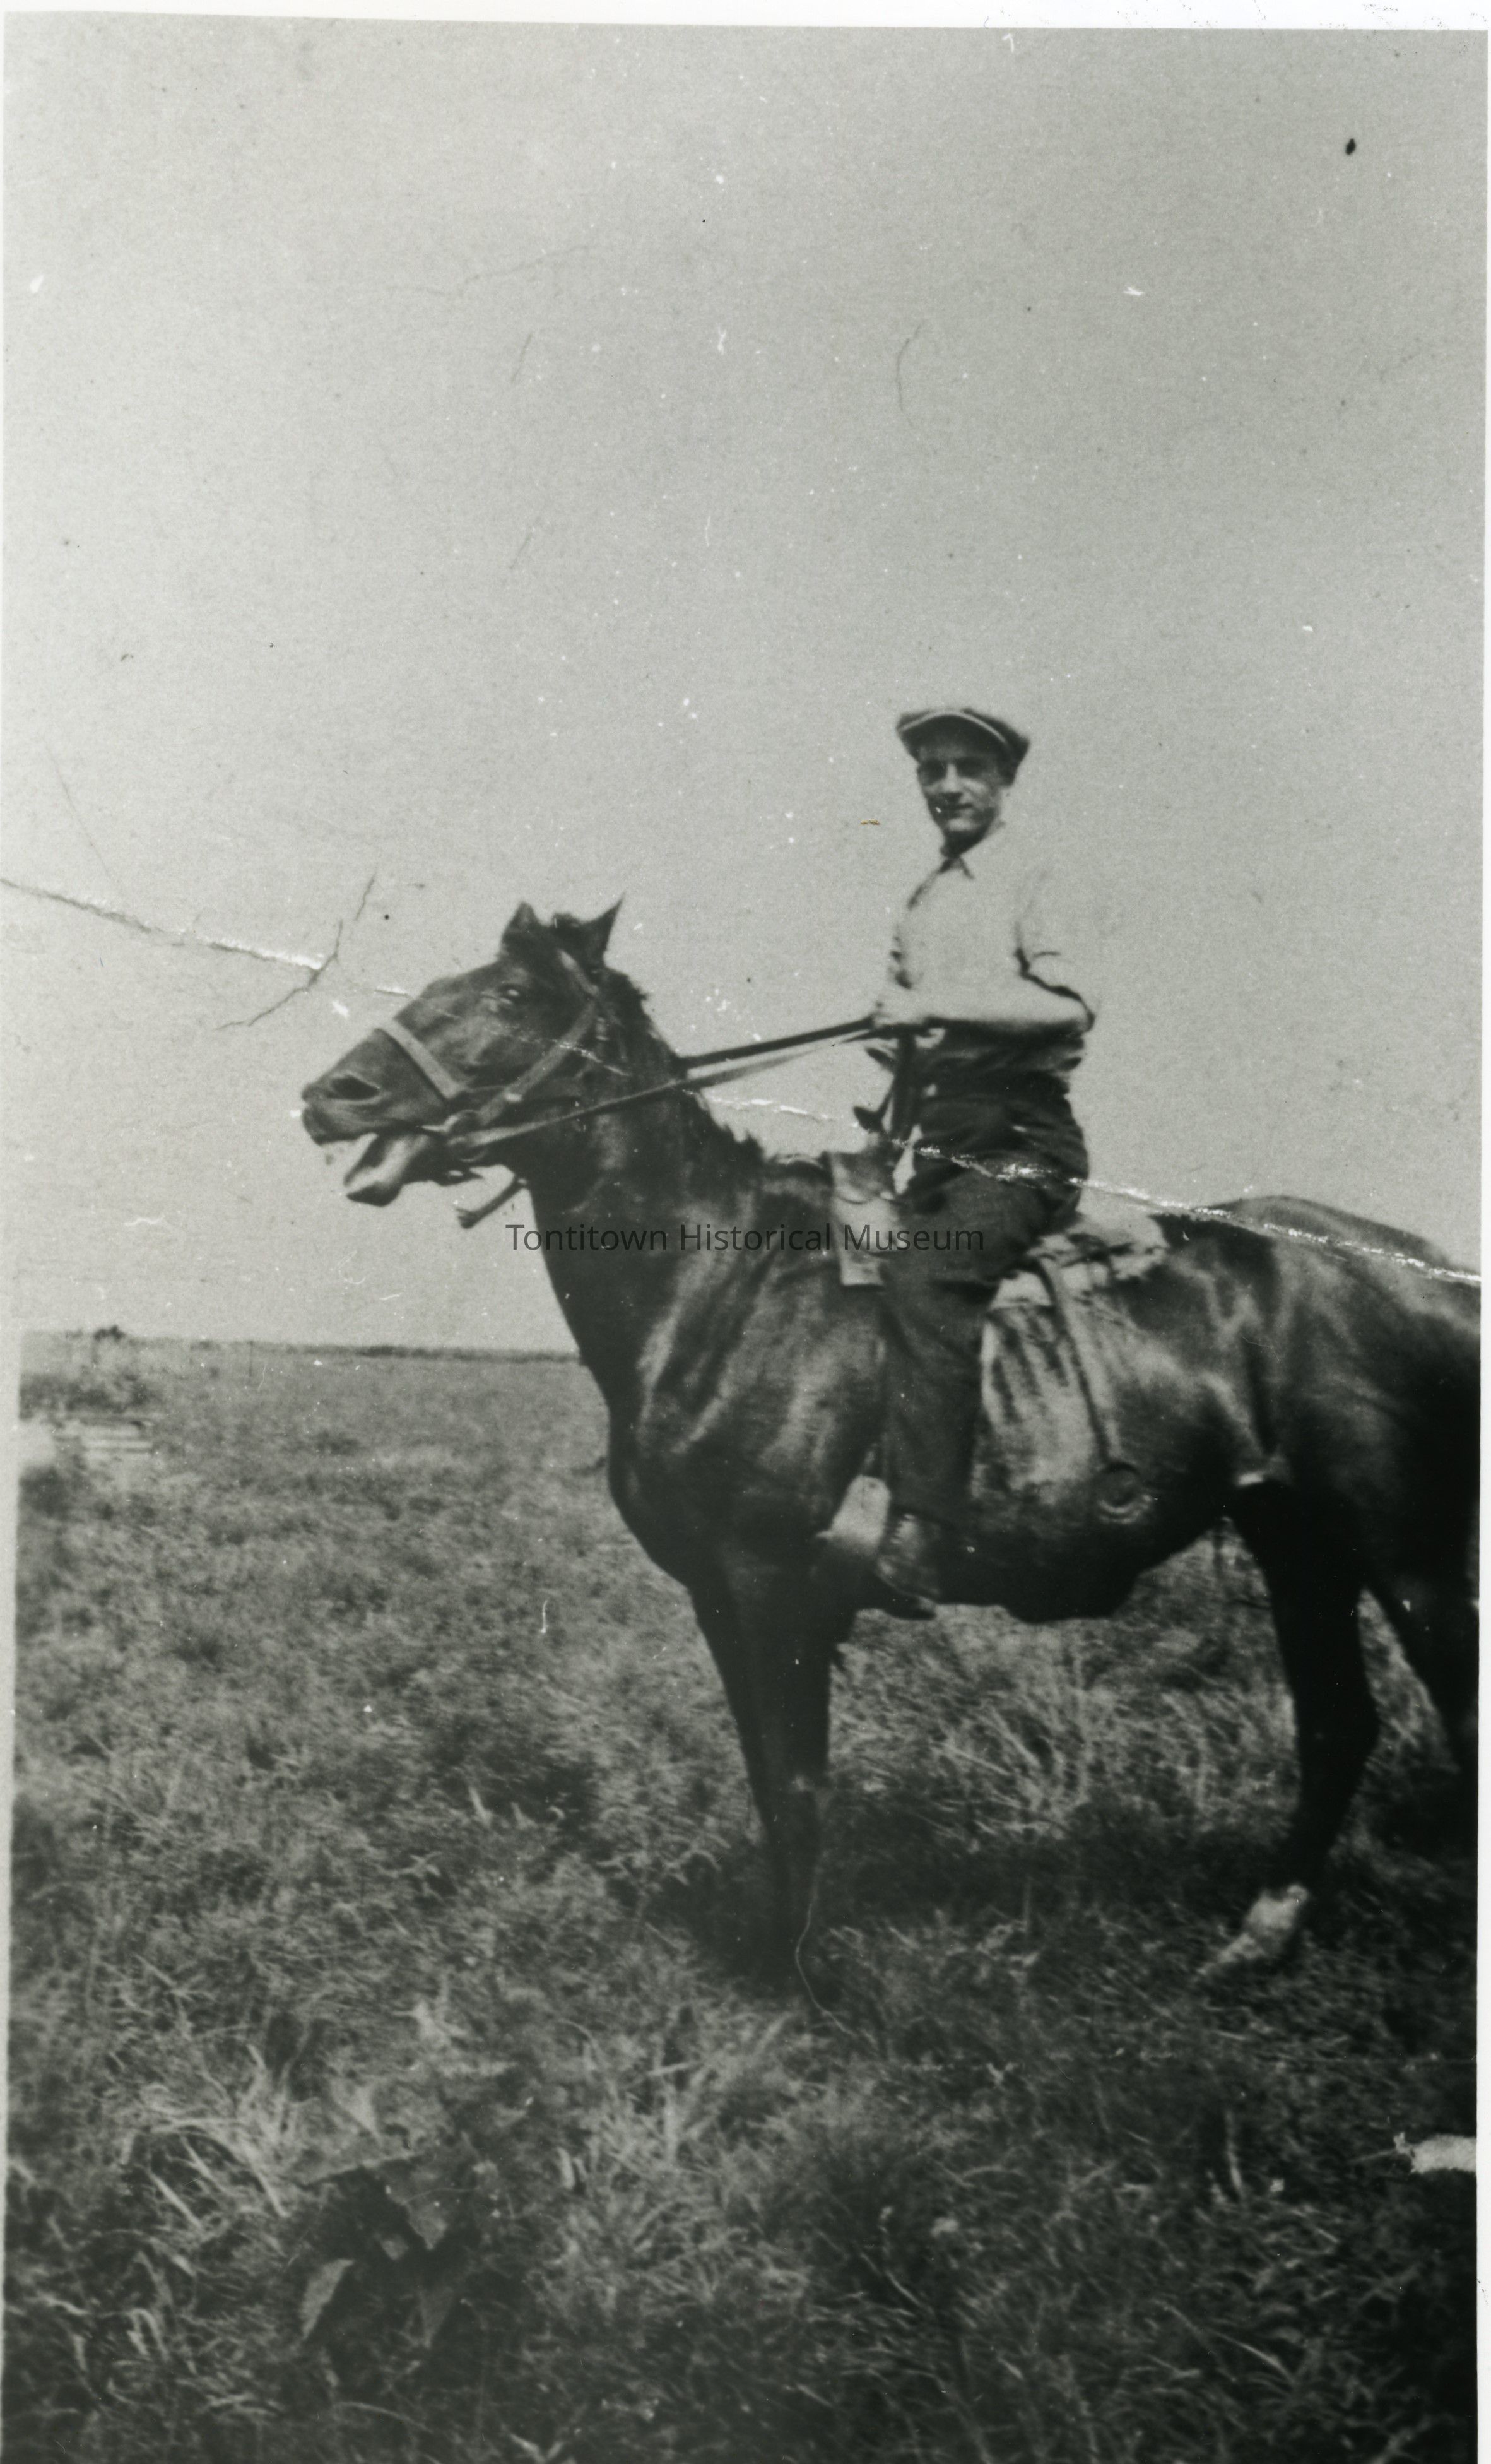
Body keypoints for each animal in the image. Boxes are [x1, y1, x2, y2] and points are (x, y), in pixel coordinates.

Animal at [300, 900, 1478, 1981]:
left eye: (509, 995)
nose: (329, 1097)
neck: (719, 1285)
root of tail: (1437, 1270)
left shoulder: (770, 1581)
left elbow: (794, 1783)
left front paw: (795, 1976)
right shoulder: (719, 1594)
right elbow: (768, 1778)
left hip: (1404, 1553)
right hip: (1298, 1539)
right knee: (1336, 1724)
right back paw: (1255, 1938)